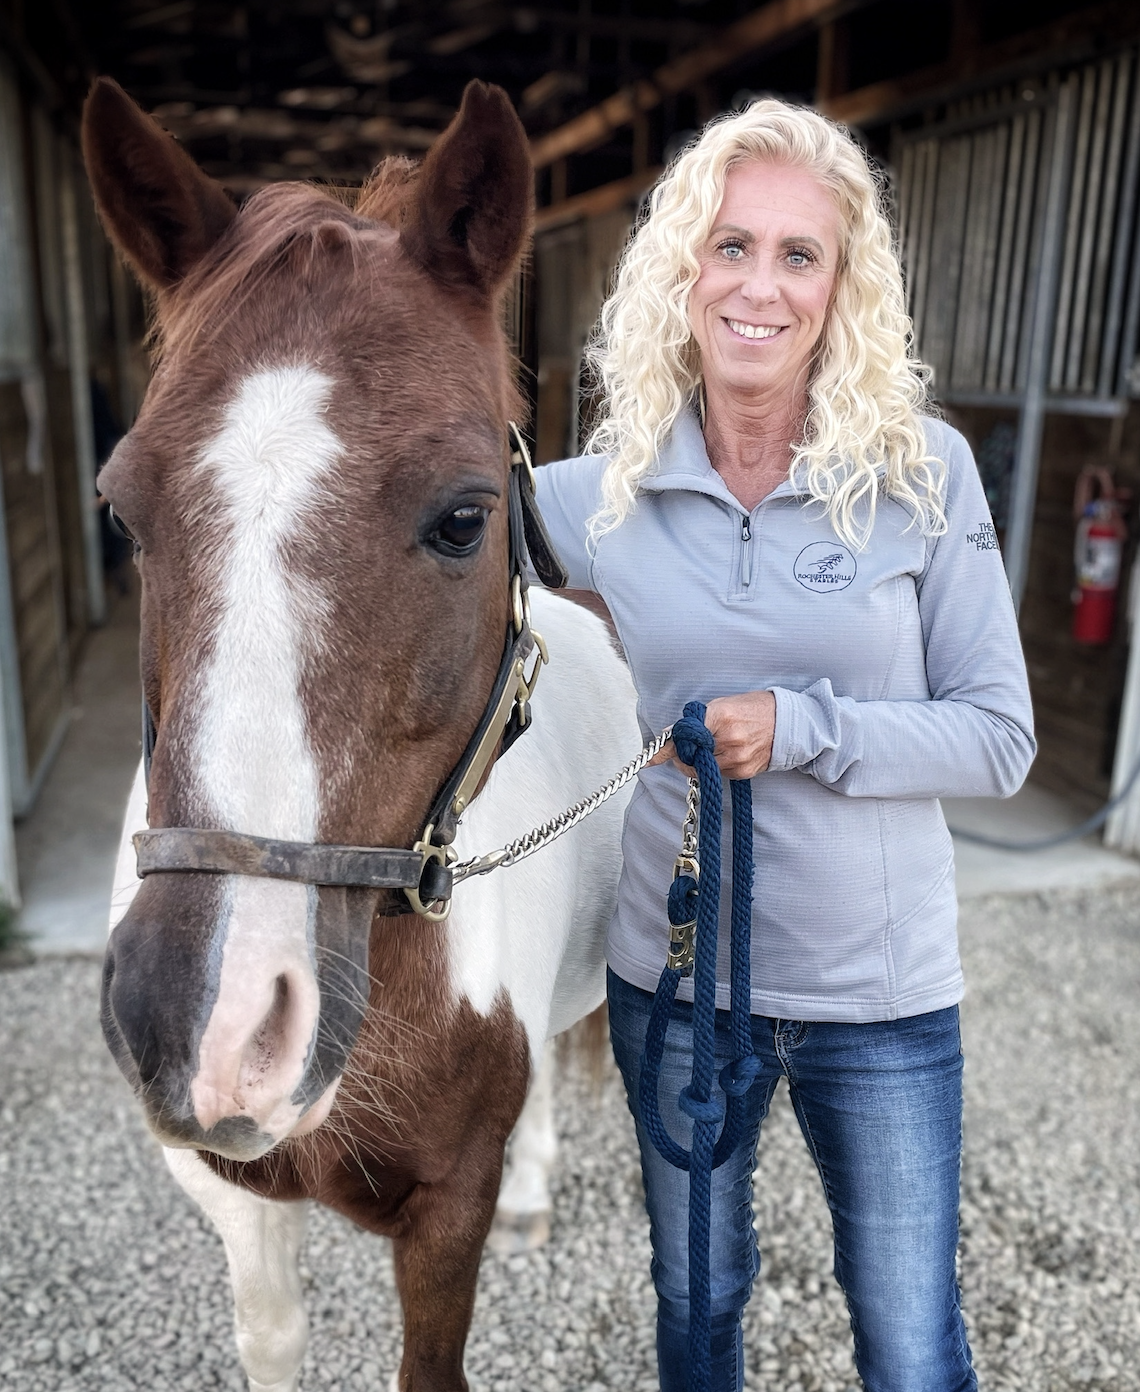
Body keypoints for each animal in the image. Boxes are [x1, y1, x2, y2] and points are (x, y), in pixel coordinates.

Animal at [85, 76, 641, 1392]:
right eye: (121, 512)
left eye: (463, 519)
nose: (215, 1022)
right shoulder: (238, 1199)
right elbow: (272, 1340)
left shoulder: (447, 1216)